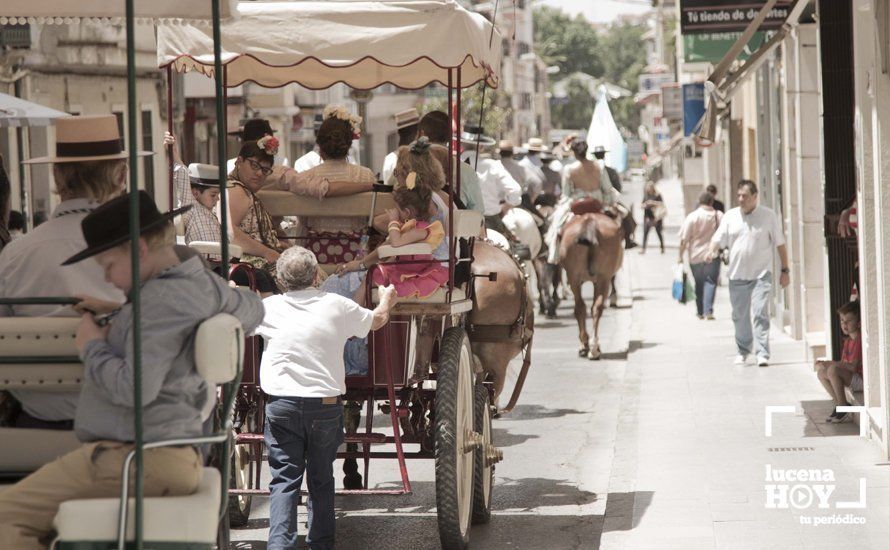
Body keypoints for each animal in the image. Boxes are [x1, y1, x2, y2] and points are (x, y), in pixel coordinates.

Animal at [560, 212, 620, 362]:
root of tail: (589, 220)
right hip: (602, 278)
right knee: (595, 308)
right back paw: (593, 348)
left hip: (574, 277)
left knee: (581, 307)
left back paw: (587, 346)